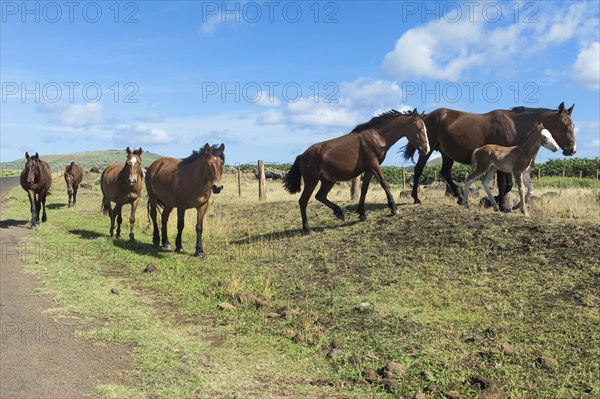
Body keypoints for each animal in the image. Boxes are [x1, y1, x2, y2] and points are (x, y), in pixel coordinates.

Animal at [284, 109, 428, 234]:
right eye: (419, 128)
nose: (426, 149)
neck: (377, 137)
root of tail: (303, 155)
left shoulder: (369, 169)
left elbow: (364, 189)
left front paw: (362, 214)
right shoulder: (374, 164)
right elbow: (384, 183)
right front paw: (394, 210)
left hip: (328, 180)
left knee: (320, 196)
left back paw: (339, 213)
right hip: (311, 180)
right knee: (303, 201)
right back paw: (308, 229)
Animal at [406, 101, 576, 211]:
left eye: (573, 125)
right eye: (564, 124)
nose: (572, 150)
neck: (514, 126)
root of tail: (426, 116)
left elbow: (509, 185)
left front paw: (504, 204)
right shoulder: (502, 163)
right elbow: (504, 185)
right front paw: (501, 205)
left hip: (446, 154)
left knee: (445, 173)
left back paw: (460, 198)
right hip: (426, 150)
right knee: (418, 170)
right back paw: (416, 198)